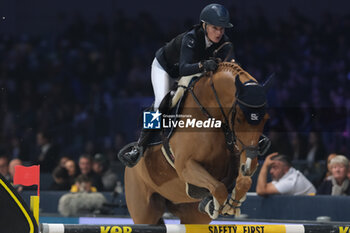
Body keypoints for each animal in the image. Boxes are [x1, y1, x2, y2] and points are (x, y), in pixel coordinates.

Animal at [124, 61, 272, 224]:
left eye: (265, 118)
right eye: (239, 118)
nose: (250, 166)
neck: (210, 116)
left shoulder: (237, 158)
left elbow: (243, 182)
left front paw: (232, 203)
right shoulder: (185, 166)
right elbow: (218, 187)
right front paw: (215, 205)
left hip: (192, 216)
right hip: (144, 212)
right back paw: (133, 153)